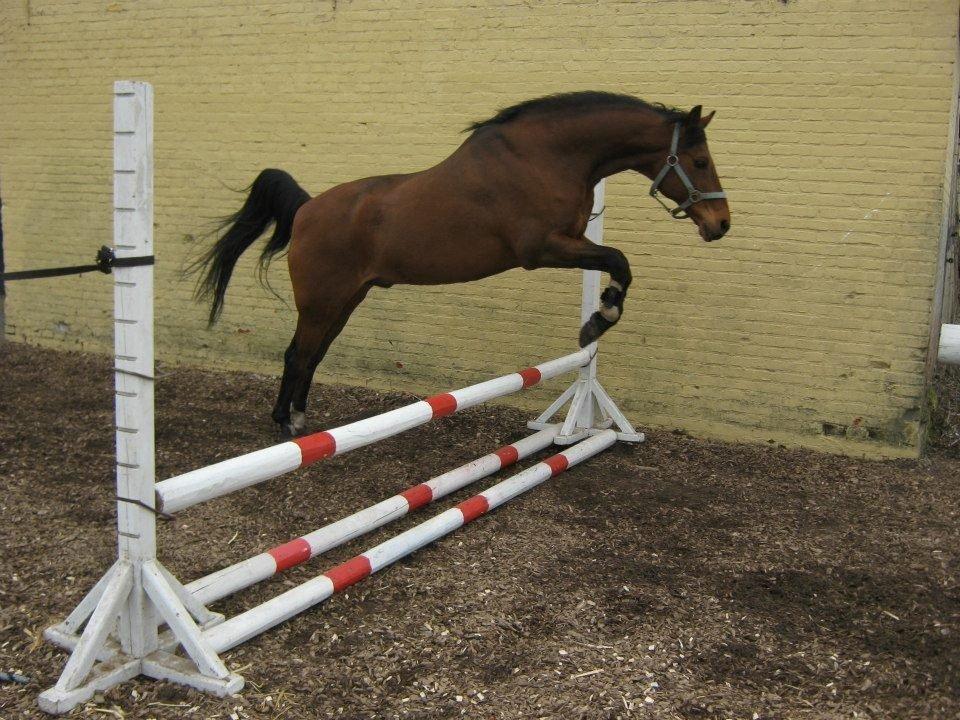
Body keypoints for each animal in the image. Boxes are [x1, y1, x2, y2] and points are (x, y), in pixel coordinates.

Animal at [192, 91, 730, 437]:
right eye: (700, 161)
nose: (720, 223)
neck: (545, 156)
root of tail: (306, 208)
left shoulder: (570, 241)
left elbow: (618, 262)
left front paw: (599, 319)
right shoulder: (543, 249)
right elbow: (619, 260)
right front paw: (597, 322)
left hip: (347, 300)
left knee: (312, 355)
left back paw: (301, 420)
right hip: (322, 301)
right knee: (297, 355)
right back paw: (285, 424)